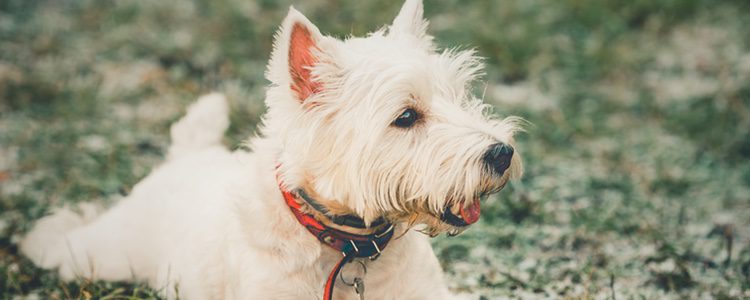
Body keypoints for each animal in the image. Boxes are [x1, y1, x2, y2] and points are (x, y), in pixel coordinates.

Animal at [19, 1, 524, 298]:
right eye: (406, 116)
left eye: (459, 97)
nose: (502, 154)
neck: (349, 251)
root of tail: (187, 156)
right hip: (103, 254)